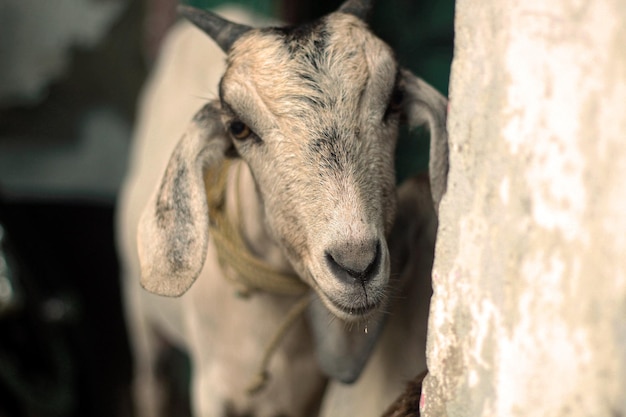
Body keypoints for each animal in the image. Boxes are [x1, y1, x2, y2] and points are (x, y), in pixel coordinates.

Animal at [117, 1, 446, 414]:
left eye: (395, 101)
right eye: (238, 127)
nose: (356, 266)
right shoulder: (211, 387)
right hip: (139, 311)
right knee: (151, 379)